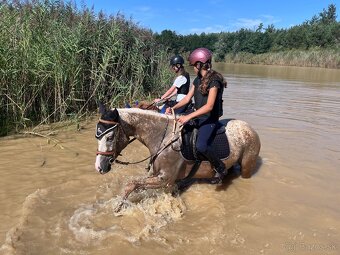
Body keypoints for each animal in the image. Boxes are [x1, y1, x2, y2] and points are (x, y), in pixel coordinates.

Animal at [95, 104, 260, 211]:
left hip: (247, 166)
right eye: (97, 136)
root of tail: (249, 128)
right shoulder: (157, 176)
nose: (99, 167)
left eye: (110, 137)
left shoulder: (165, 179)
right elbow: (137, 185)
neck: (163, 137)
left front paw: (119, 206)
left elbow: (131, 184)